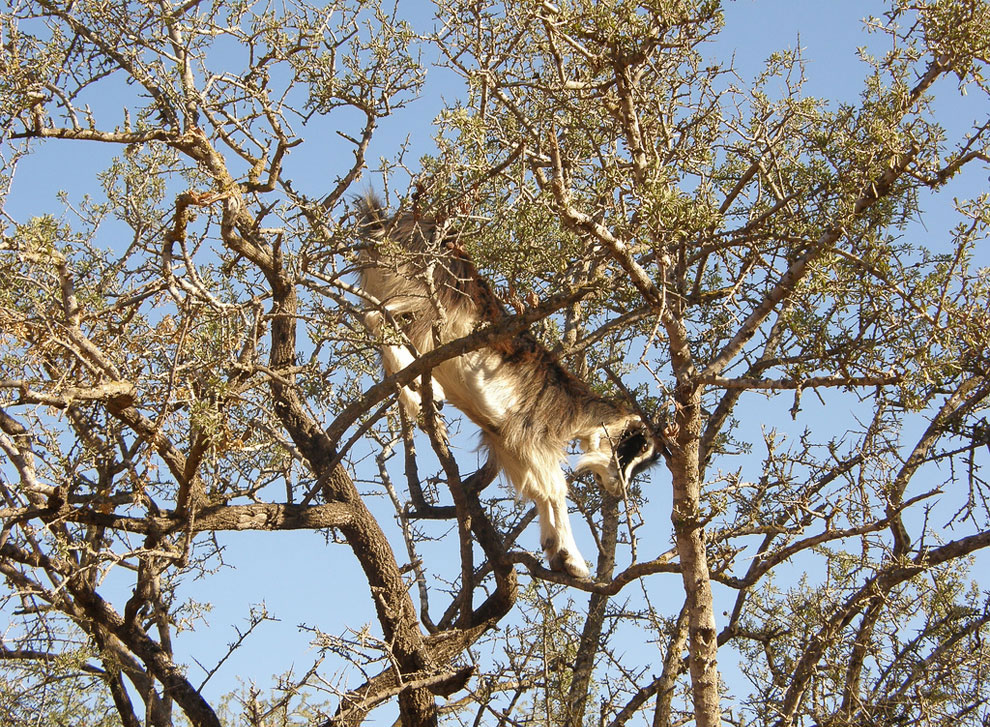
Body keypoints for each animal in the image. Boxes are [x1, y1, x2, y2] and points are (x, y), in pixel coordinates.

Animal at [356, 195, 668, 580]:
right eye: (633, 446)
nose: (619, 488)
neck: (571, 406)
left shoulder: (504, 439)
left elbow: (539, 490)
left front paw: (555, 551)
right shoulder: (531, 434)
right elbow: (556, 488)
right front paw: (573, 560)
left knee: (375, 323)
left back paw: (419, 396)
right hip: (420, 293)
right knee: (377, 316)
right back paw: (428, 395)